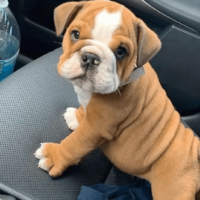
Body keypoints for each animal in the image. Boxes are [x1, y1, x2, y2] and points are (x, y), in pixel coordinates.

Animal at [35, 0, 200, 199]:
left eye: (121, 52)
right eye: (75, 34)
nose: (90, 57)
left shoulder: (96, 127)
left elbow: (75, 143)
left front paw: (54, 156)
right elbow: (84, 110)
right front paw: (77, 116)